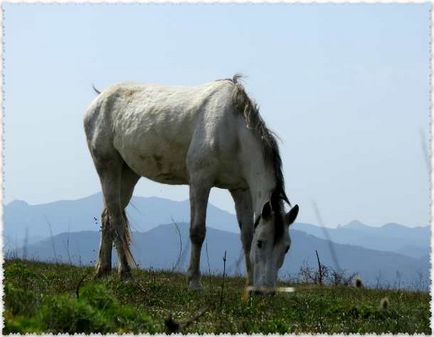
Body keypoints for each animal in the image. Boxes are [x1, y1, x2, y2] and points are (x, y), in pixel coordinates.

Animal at [82, 75, 298, 288]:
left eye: (286, 247)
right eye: (261, 243)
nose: (266, 290)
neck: (234, 132)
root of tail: (98, 100)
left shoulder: (241, 190)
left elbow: (246, 236)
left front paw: (250, 284)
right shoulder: (200, 182)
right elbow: (197, 232)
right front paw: (194, 281)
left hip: (128, 173)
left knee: (107, 216)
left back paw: (103, 270)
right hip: (108, 167)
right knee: (116, 218)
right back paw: (126, 273)